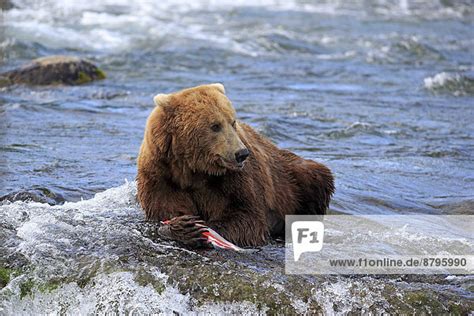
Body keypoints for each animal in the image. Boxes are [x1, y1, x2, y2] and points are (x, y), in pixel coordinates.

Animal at [136, 83, 334, 247]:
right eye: (215, 126)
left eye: (232, 121)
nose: (241, 154)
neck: (193, 167)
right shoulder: (161, 174)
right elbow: (166, 209)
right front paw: (183, 227)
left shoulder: (234, 179)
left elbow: (246, 216)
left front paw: (202, 228)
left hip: (290, 179)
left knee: (315, 177)